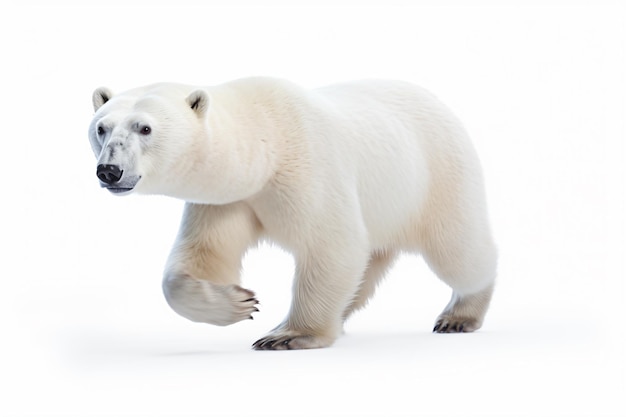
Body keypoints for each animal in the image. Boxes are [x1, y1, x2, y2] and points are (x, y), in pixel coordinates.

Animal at [89, 77, 498, 348]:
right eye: (101, 128)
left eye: (145, 128)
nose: (109, 171)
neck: (265, 140)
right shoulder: (230, 198)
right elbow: (204, 254)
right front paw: (239, 303)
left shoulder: (308, 168)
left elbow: (331, 245)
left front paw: (286, 335)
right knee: (370, 262)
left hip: (436, 177)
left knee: (458, 252)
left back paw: (460, 315)